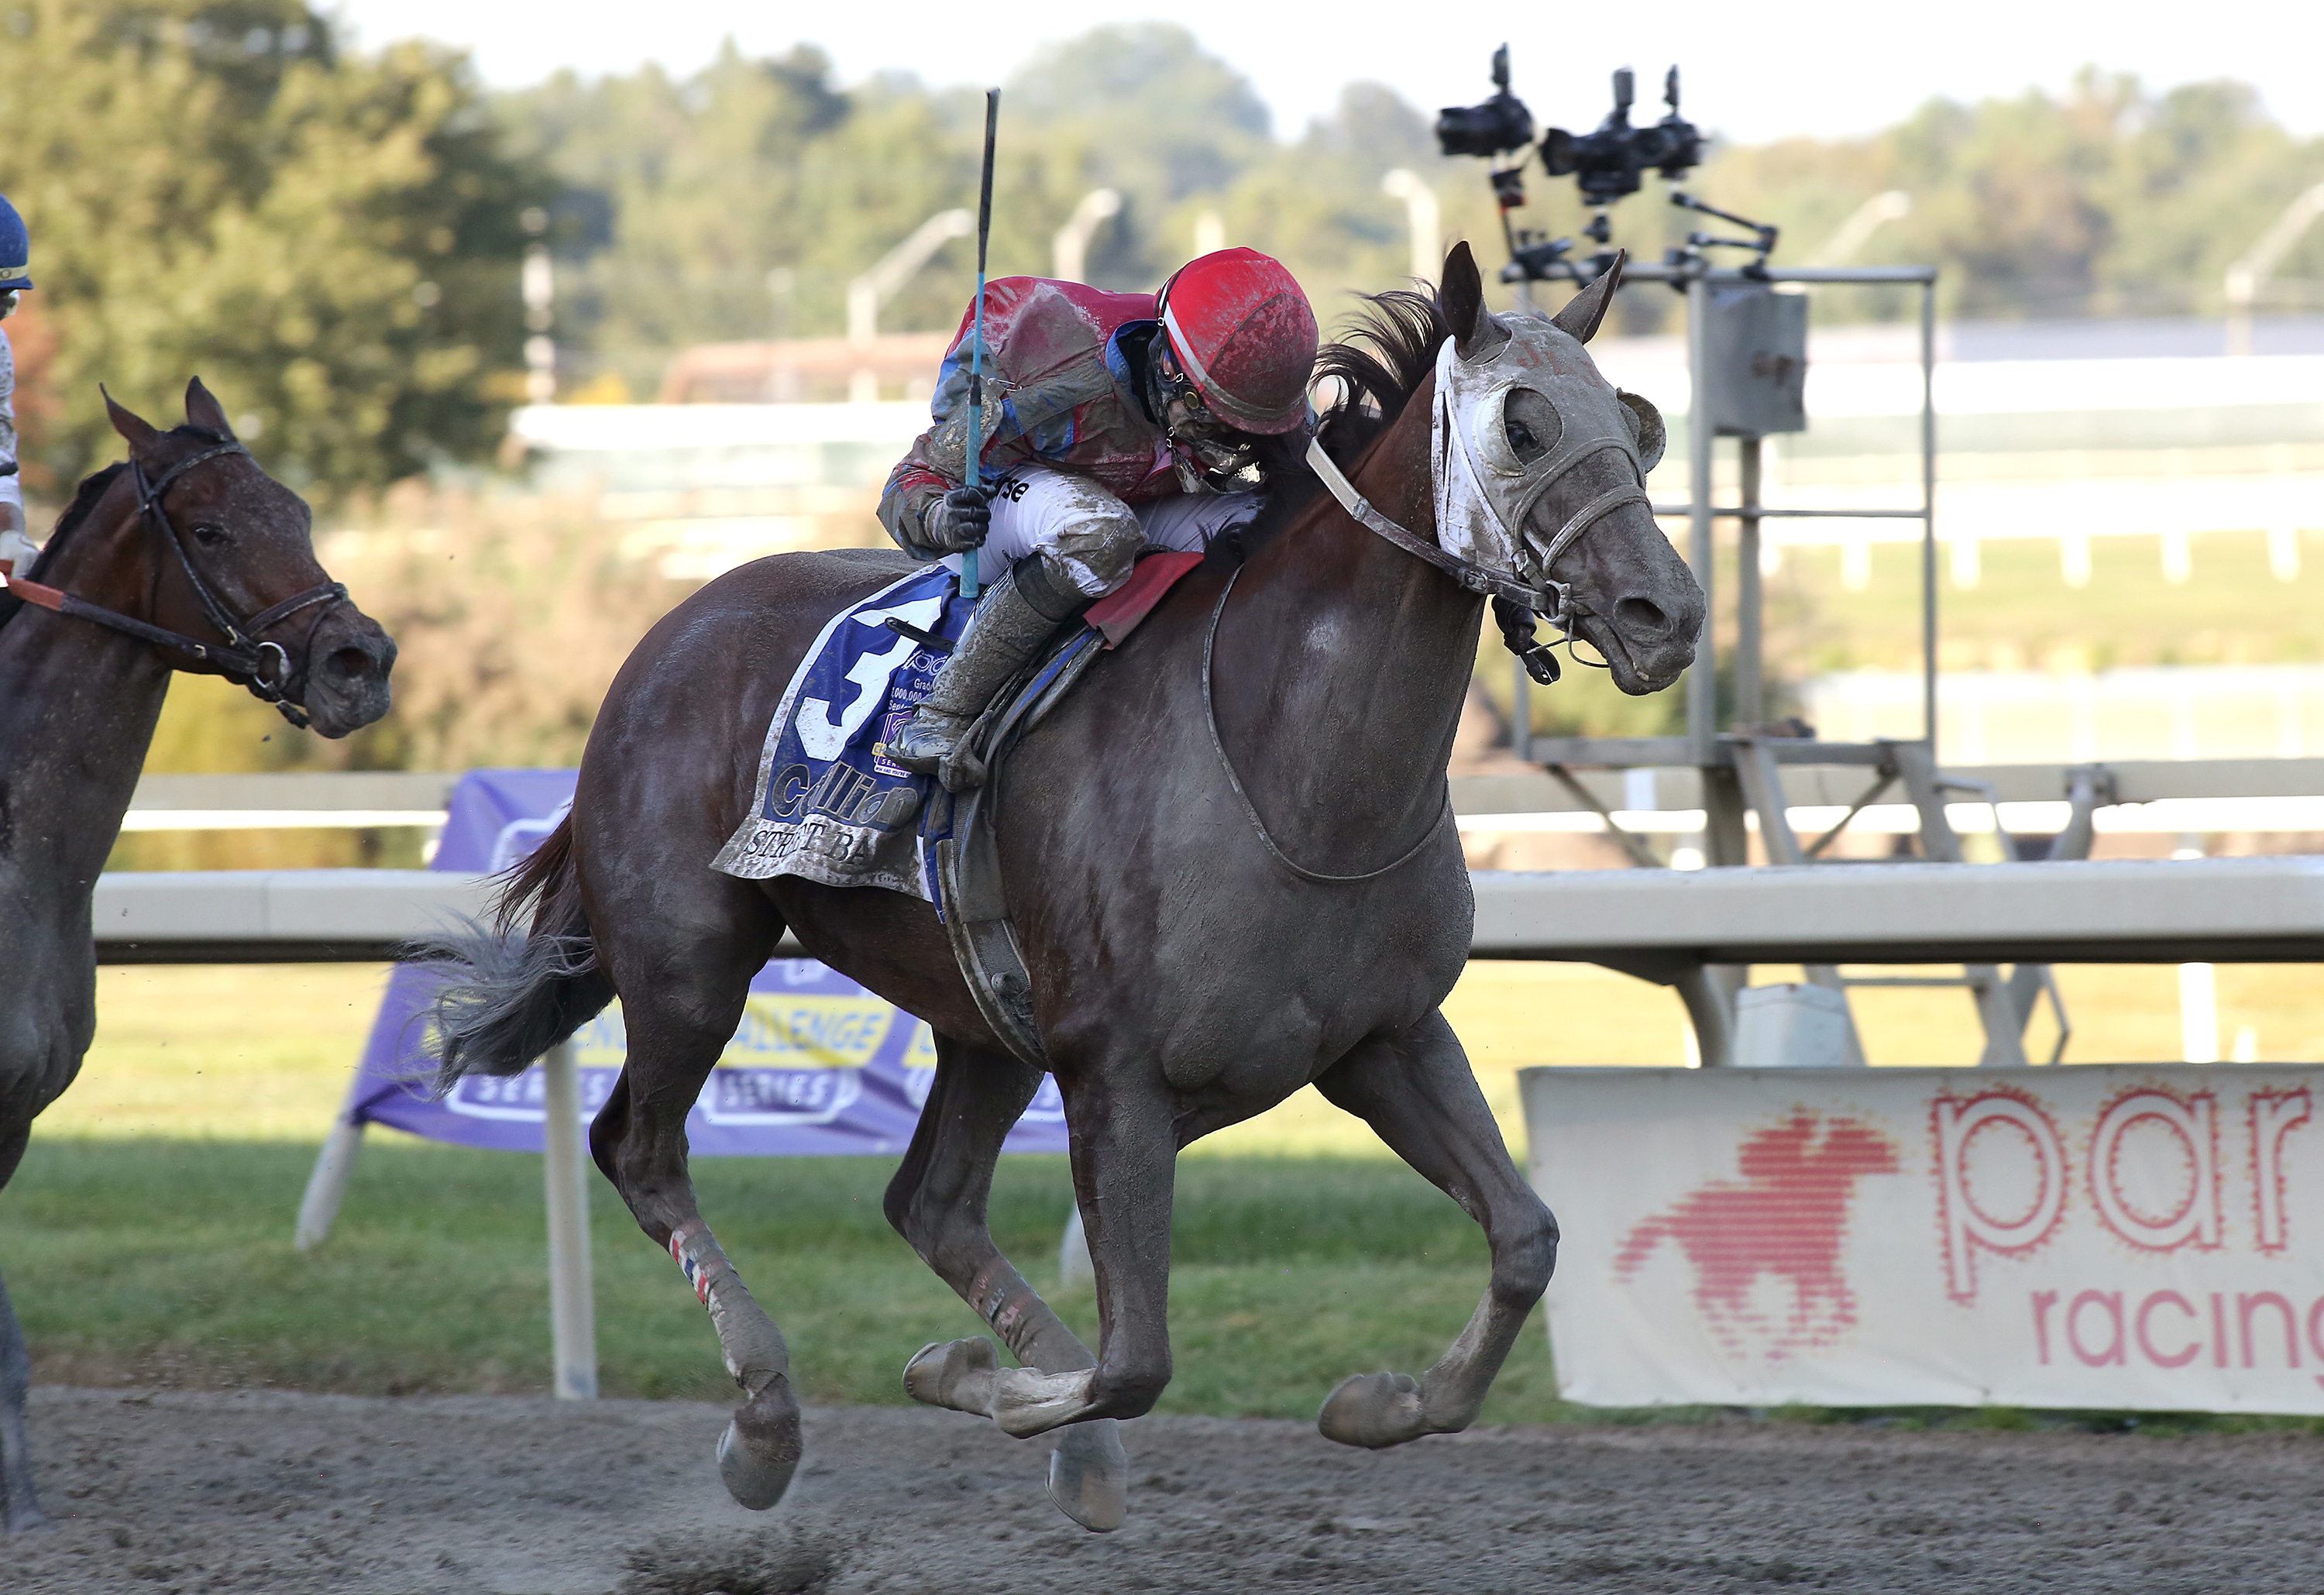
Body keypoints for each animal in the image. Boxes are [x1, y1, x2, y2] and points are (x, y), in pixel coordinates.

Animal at [428, 244, 1710, 1534]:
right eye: (1524, 424)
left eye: (1636, 424)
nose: (1669, 613)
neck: (1287, 765)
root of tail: (664, 634)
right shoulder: (1115, 1072)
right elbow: (1134, 1359)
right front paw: (983, 1383)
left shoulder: (1383, 1035)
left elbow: (1527, 1237)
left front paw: (1377, 1400)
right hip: (688, 963)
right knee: (643, 1152)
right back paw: (767, 1418)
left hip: (981, 1015)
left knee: (930, 1200)